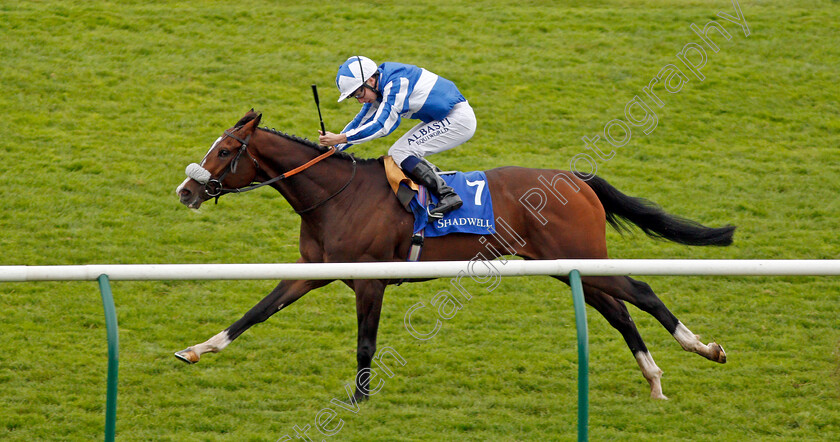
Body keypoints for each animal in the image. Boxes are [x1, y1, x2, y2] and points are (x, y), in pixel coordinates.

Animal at [174, 110, 732, 400]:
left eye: (226, 151)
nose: (186, 191)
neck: (336, 196)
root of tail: (576, 178)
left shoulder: (370, 280)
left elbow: (364, 344)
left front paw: (359, 400)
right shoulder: (314, 272)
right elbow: (257, 311)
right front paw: (198, 349)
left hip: (582, 255)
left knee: (642, 291)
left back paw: (702, 348)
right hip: (566, 266)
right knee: (618, 311)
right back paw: (654, 378)